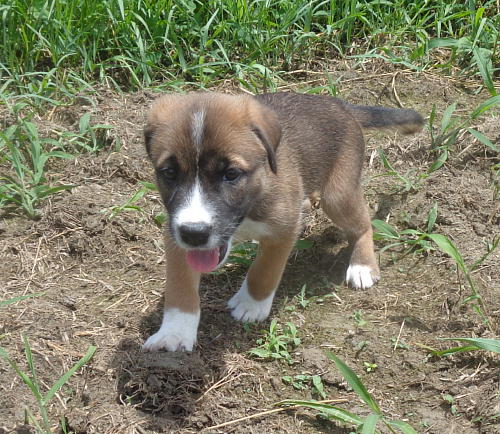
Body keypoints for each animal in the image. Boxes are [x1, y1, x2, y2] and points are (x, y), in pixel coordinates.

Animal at [143, 92, 424, 352]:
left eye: (231, 174)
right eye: (169, 173)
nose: (194, 234)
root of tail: (340, 104)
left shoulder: (283, 229)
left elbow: (264, 272)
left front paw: (251, 304)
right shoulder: (174, 229)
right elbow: (179, 285)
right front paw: (175, 332)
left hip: (339, 196)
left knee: (363, 225)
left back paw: (363, 265)